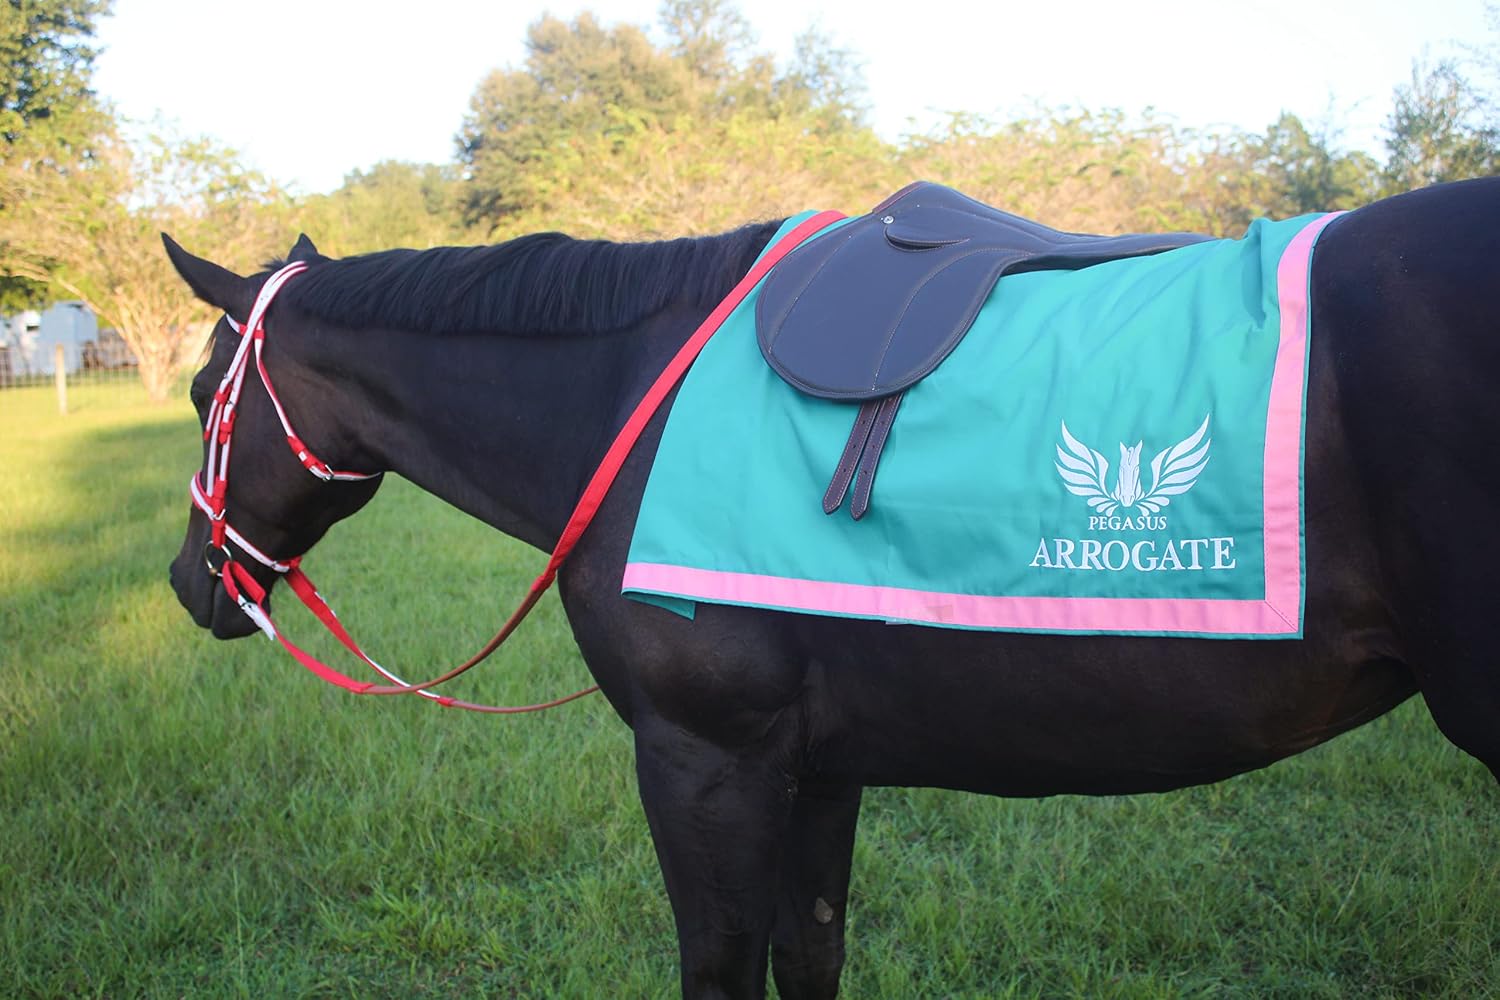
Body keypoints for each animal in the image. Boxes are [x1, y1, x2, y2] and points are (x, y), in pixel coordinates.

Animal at [166, 177, 1500, 1000]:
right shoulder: (817, 768)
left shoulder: (705, 761)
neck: (633, 386)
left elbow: (720, 969)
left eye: (198, 394)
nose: (192, 584)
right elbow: (810, 957)